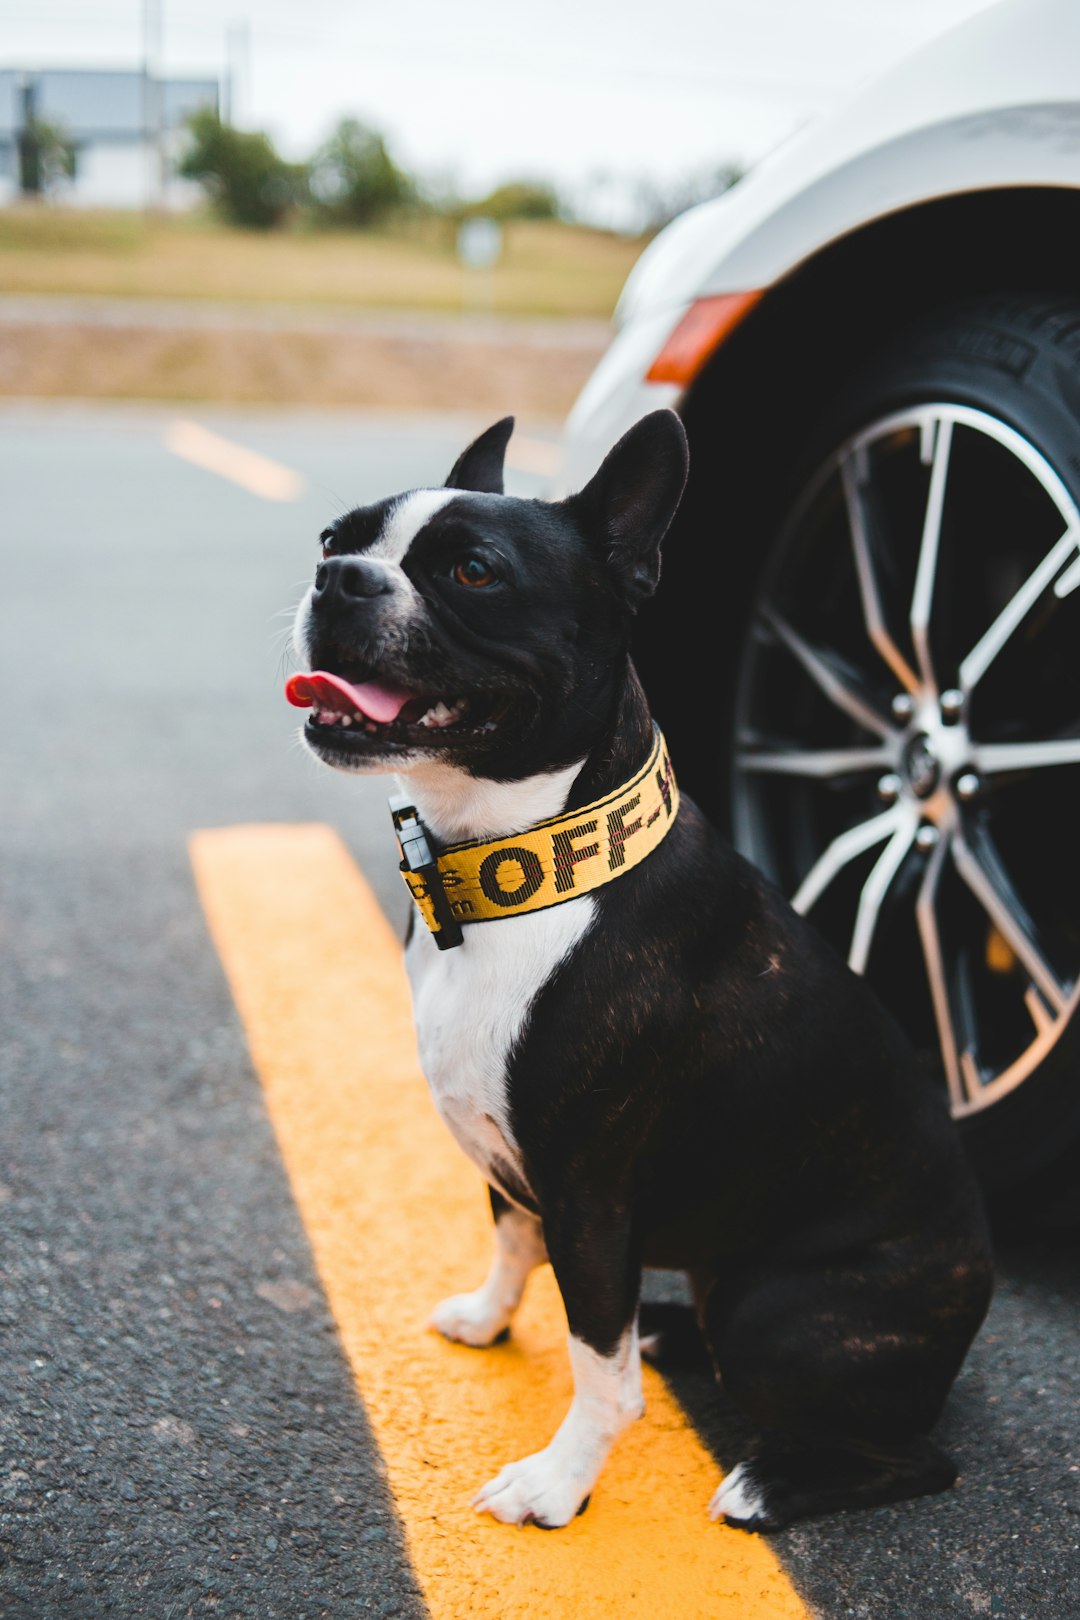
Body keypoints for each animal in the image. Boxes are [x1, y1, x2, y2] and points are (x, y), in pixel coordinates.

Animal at [286, 414, 997, 1529]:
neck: (522, 862)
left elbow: (597, 1365)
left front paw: (558, 1482)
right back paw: (671, 1331)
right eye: (333, 539)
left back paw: (768, 1484)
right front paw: (488, 1319)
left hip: (775, 1312)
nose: (339, 579)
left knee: (914, 1456)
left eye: (474, 572)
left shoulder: (590, 1193)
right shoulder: (517, 1163)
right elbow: (511, 1238)